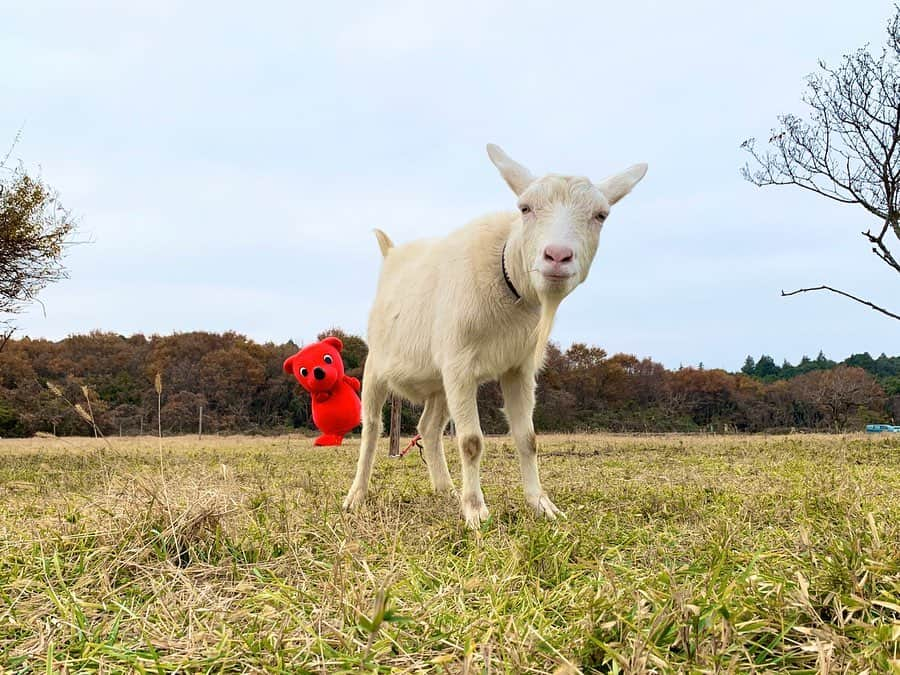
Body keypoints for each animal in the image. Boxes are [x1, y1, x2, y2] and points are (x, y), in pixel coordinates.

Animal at [344, 147, 648, 528]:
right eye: (525, 208)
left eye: (601, 215)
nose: (557, 256)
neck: (507, 278)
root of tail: (391, 253)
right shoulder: (460, 364)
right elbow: (471, 441)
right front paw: (476, 511)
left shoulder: (517, 367)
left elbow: (528, 439)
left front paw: (541, 504)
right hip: (378, 365)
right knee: (371, 426)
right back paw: (356, 496)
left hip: (439, 382)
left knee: (429, 427)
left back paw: (446, 489)